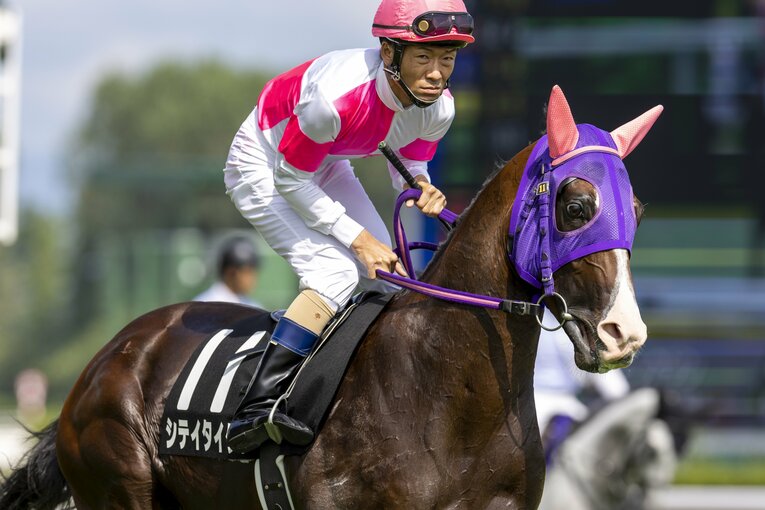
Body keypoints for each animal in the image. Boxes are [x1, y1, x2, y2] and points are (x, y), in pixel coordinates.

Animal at [0, 85, 662, 509]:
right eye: (577, 207)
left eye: (636, 209)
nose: (624, 334)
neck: (445, 390)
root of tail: (108, 357)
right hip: (119, 487)